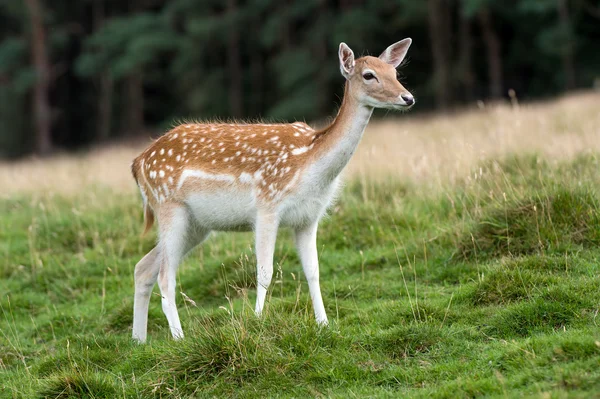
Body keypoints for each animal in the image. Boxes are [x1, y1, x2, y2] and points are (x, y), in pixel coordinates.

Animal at [130, 38, 412, 344]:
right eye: (369, 75)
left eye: (395, 72)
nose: (408, 98)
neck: (311, 168)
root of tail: (138, 163)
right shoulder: (267, 206)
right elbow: (264, 272)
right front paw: (257, 322)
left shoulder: (308, 218)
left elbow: (313, 271)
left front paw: (325, 325)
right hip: (169, 206)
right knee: (165, 276)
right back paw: (179, 338)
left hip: (197, 225)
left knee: (143, 268)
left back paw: (138, 342)